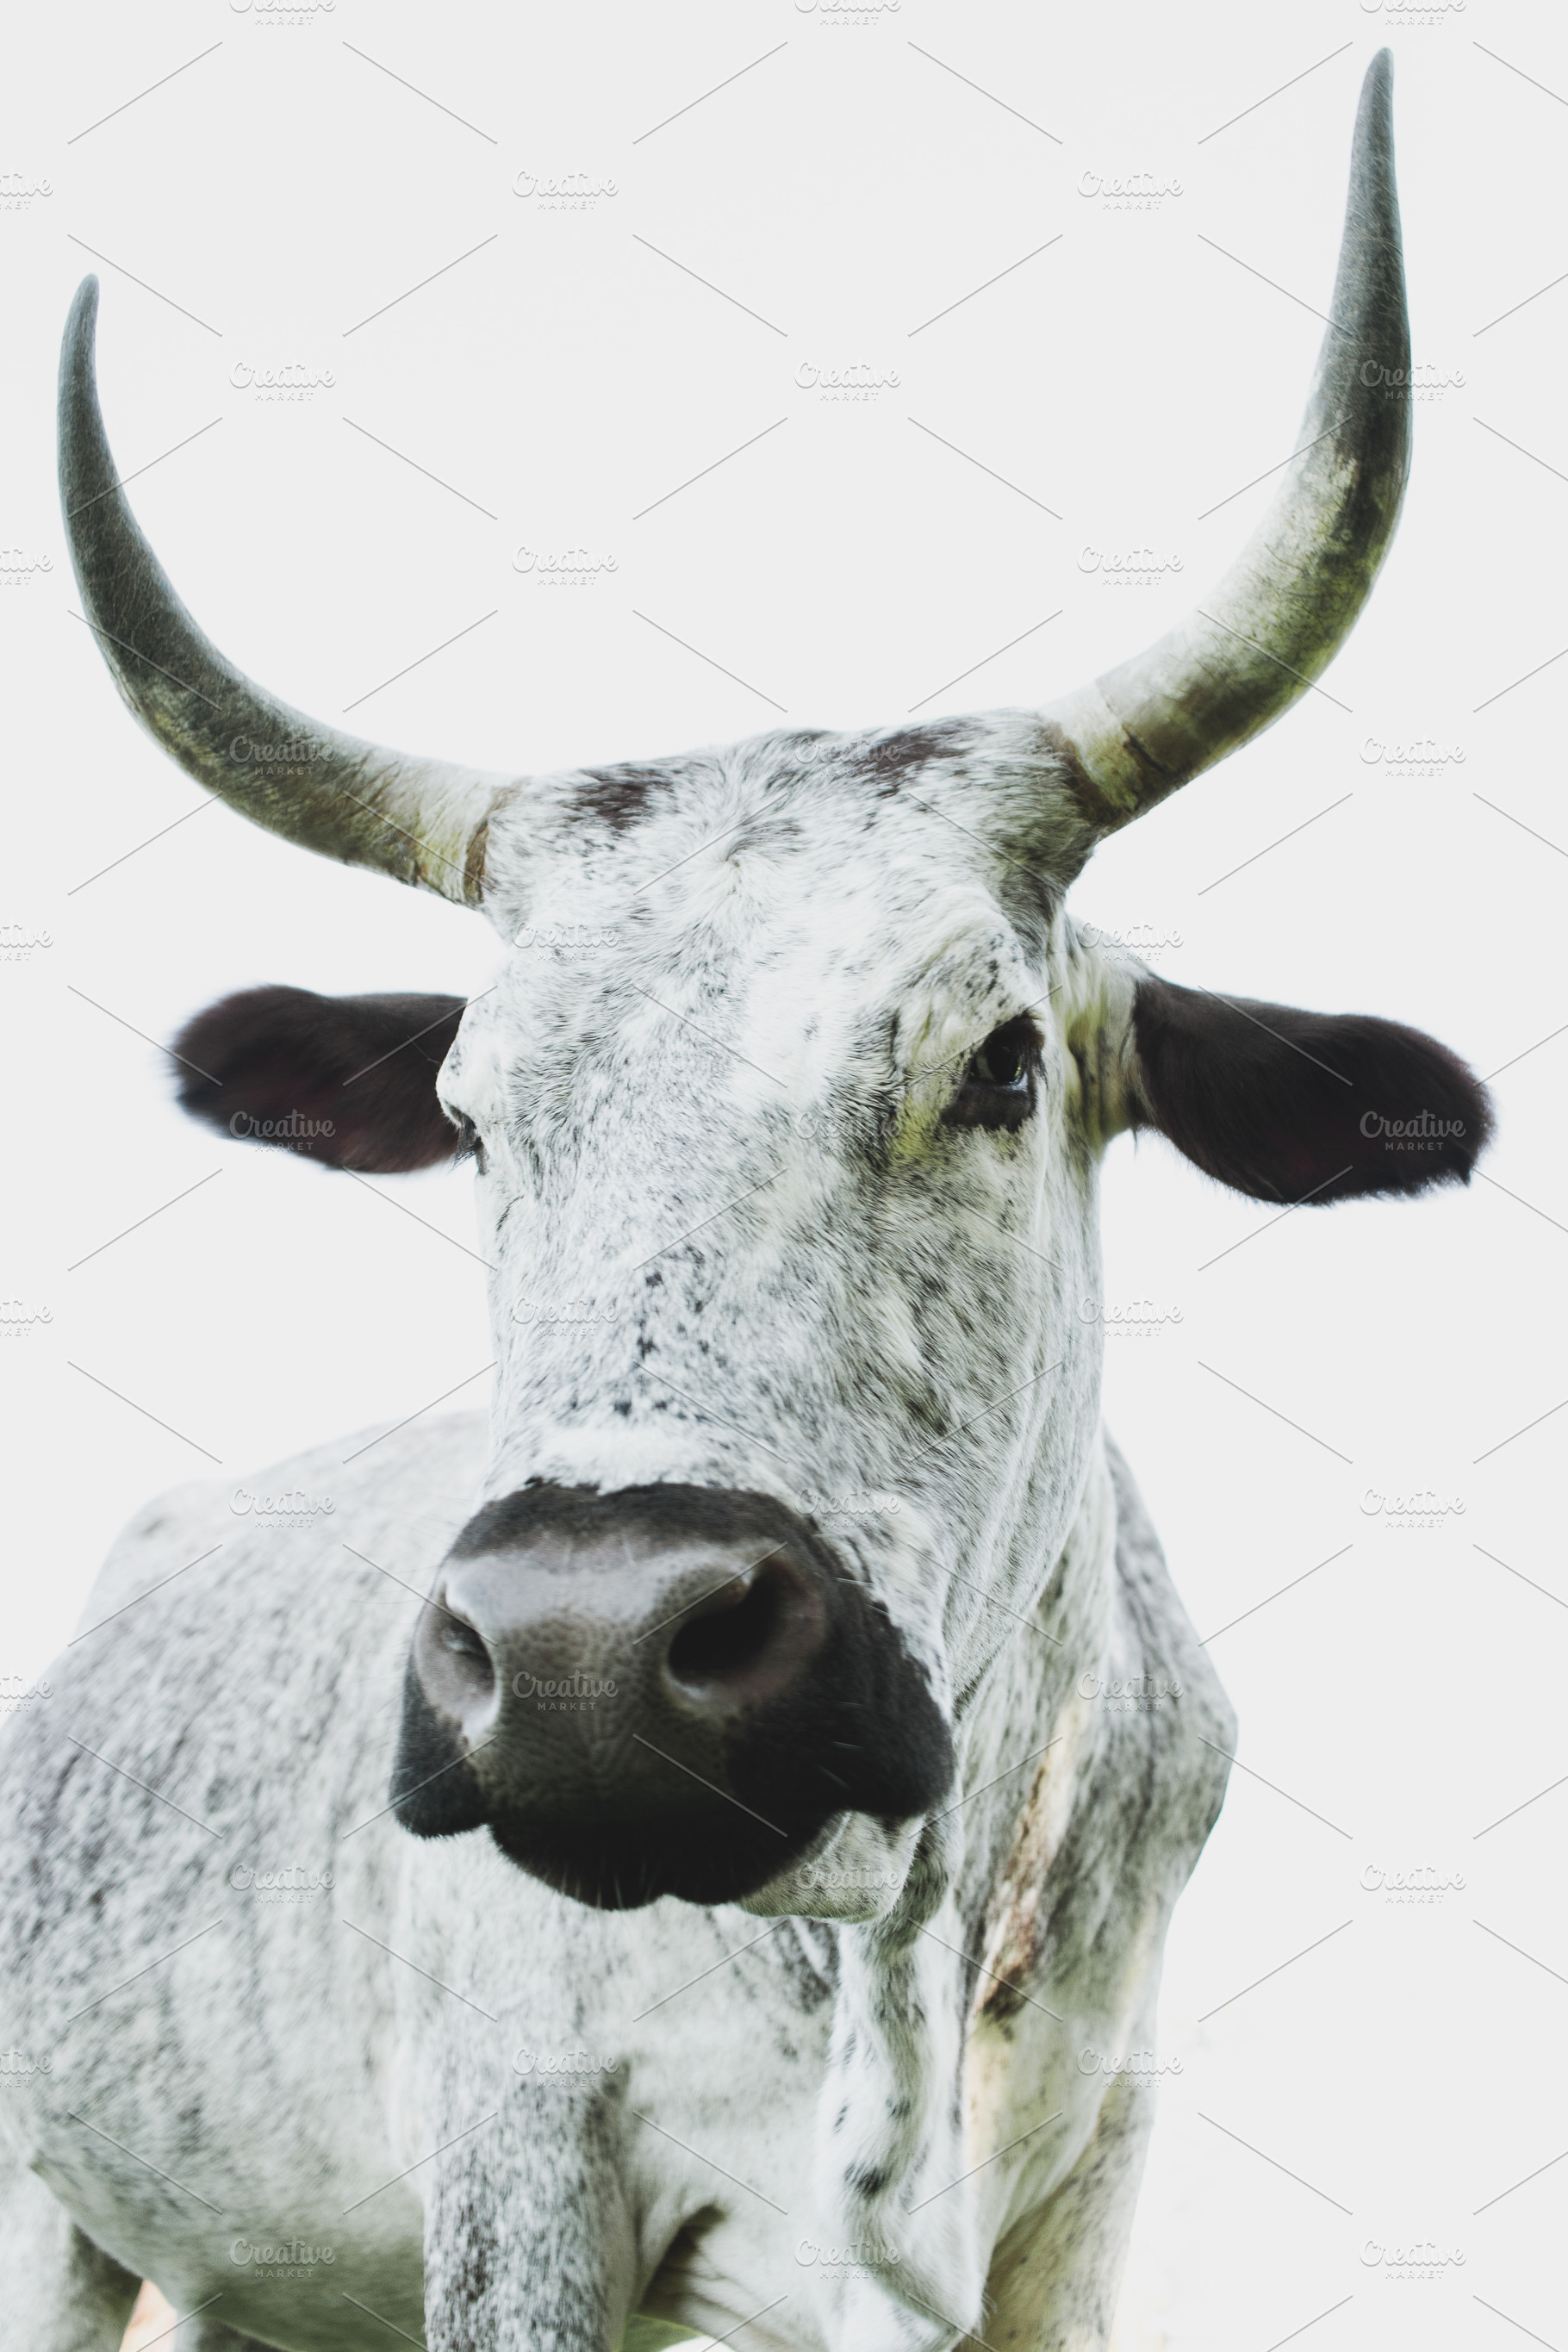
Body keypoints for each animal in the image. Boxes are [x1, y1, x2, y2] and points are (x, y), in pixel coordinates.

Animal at [0, 54, 1489, 2352]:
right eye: (474, 1113)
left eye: (1002, 1062)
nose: (586, 1658)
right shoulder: (519, 2164)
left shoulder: (1092, 2182)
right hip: (58, 2209)